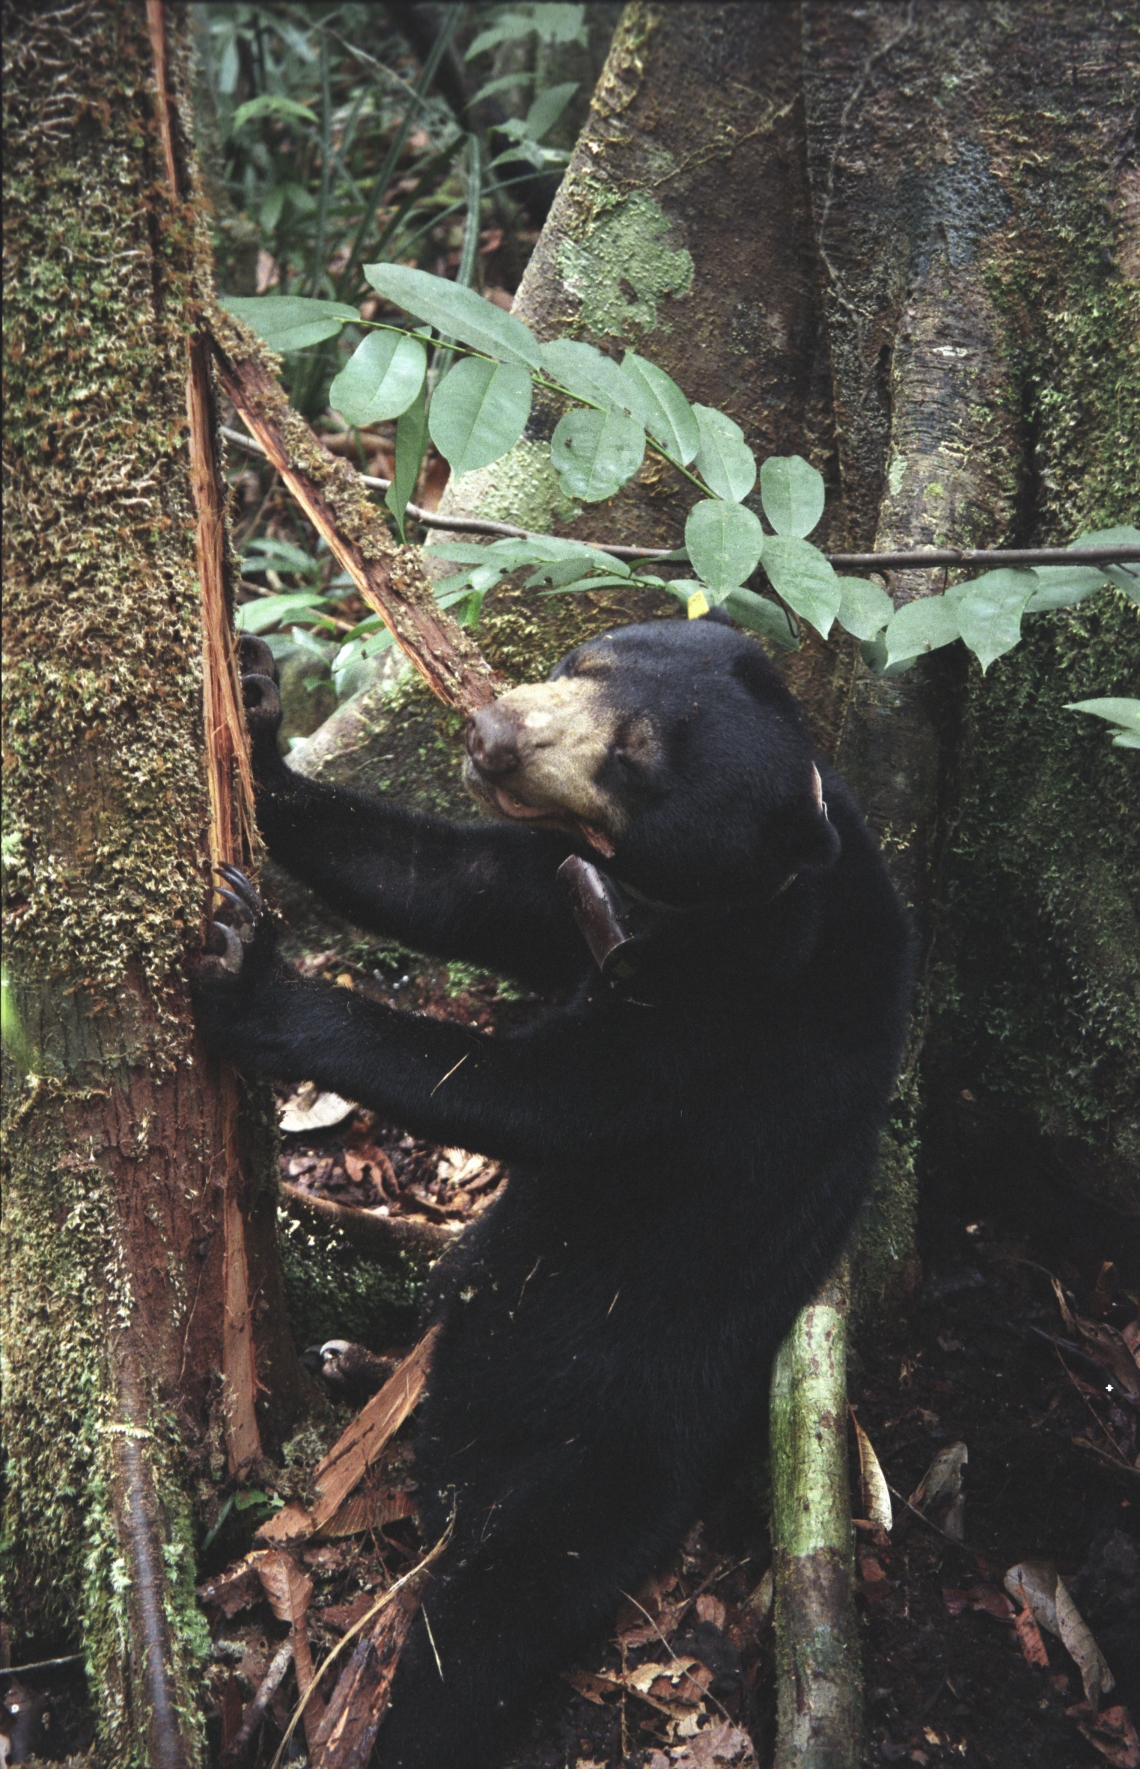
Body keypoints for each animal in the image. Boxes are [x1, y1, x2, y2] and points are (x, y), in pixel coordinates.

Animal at [193, 615, 906, 1761]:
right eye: (585, 663)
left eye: (636, 760)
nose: (488, 732)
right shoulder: (559, 887)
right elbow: (440, 877)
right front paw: (255, 712)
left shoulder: (737, 1025)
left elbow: (536, 1094)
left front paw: (249, 971)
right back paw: (356, 1362)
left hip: (600, 1426)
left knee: (490, 1618)